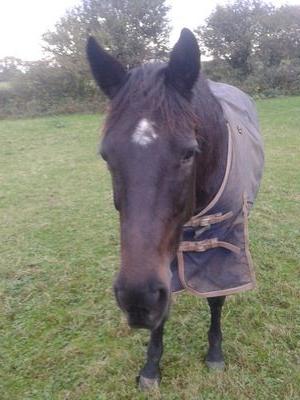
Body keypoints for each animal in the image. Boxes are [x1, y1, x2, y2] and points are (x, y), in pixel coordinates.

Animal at [85, 28, 264, 390]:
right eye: (106, 155)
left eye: (188, 153)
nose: (137, 299)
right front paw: (151, 367)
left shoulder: (222, 246)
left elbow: (216, 296)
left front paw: (214, 354)